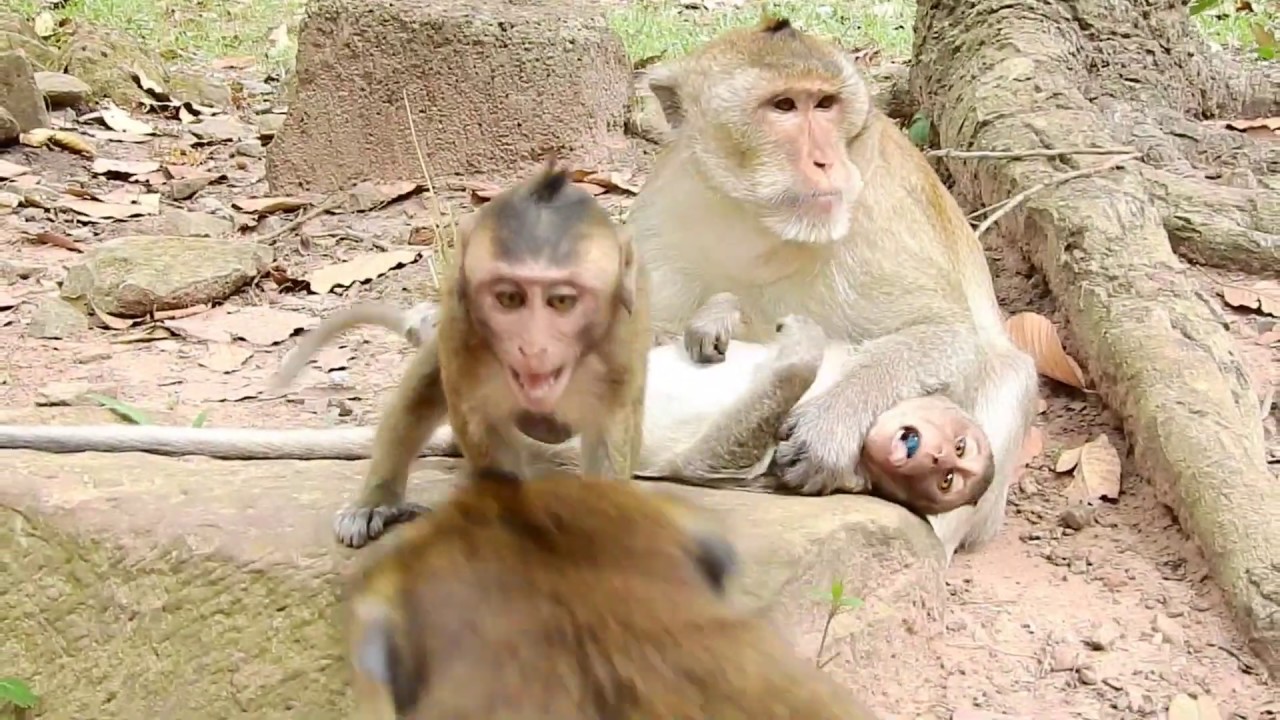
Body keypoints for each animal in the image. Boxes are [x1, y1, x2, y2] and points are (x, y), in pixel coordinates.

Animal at [623, 14, 1040, 559]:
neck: (764, 227)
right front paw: (717, 315)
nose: (826, 161)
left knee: (1009, 371)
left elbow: (947, 333)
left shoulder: (878, 208)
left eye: (825, 104)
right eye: (783, 106)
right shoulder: (663, 213)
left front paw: (832, 425)